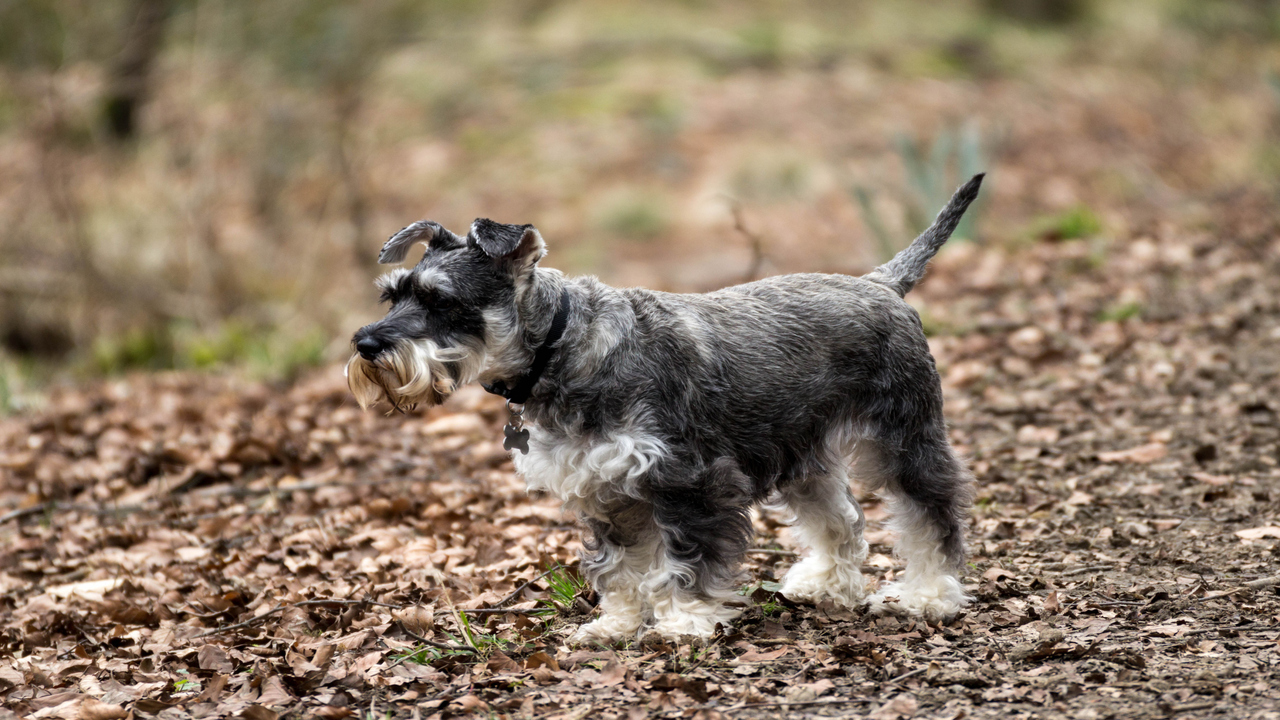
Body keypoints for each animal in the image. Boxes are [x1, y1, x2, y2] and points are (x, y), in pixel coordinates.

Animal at [345, 172, 983, 638]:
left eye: (442, 301)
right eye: (393, 295)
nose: (366, 344)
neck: (564, 347)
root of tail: (880, 282)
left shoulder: (689, 482)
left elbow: (687, 559)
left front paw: (687, 622)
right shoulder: (606, 494)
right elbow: (618, 568)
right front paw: (617, 626)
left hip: (904, 436)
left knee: (932, 512)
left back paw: (929, 596)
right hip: (799, 450)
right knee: (841, 518)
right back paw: (827, 583)